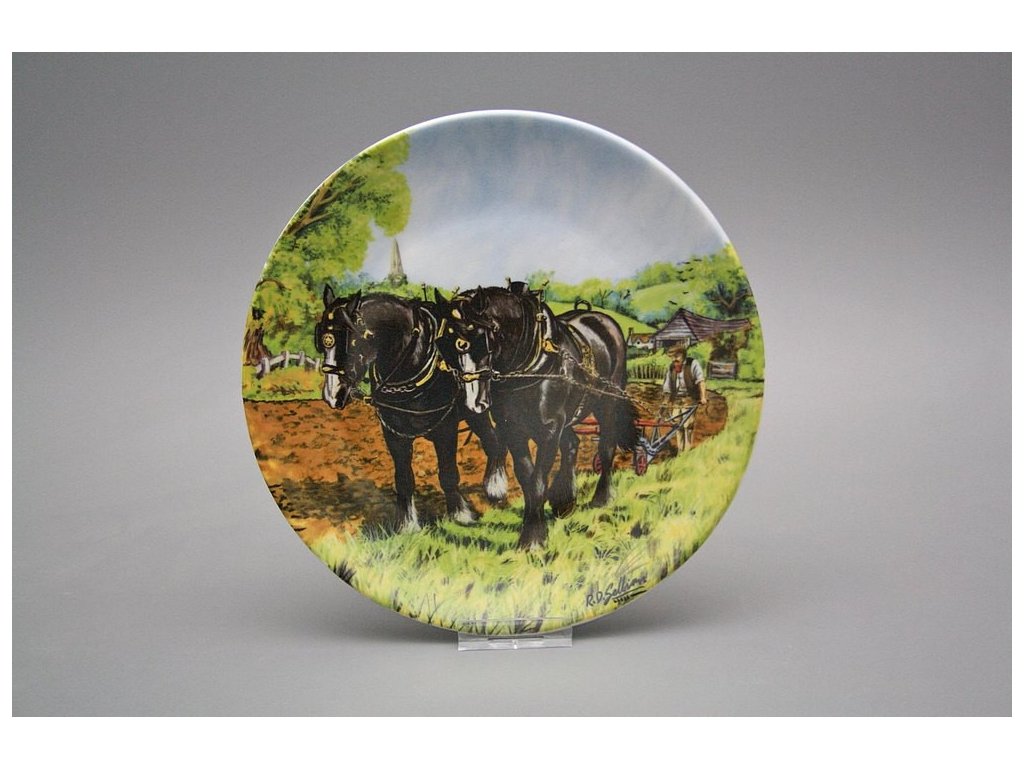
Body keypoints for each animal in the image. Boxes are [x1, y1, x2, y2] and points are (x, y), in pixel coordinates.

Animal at [316, 287, 508, 533]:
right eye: (322, 340)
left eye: (351, 341)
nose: (332, 394)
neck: (412, 363)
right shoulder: (394, 434)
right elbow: (404, 479)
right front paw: (407, 524)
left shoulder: (445, 429)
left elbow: (448, 474)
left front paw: (460, 514)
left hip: (476, 408)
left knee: (494, 442)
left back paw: (496, 488)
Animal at [432, 284, 638, 549]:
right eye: (444, 342)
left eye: (479, 337)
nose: (473, 402)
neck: (530, 362)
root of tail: (601, 318)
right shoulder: (513, 429)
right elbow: (526, 477)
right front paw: (533, 527)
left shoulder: (549, 429)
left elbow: (539, 481)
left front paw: (533, 538)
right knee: (572, 444)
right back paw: (564, 500)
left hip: (608, 403)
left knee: (606, 447)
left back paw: (601, 498)